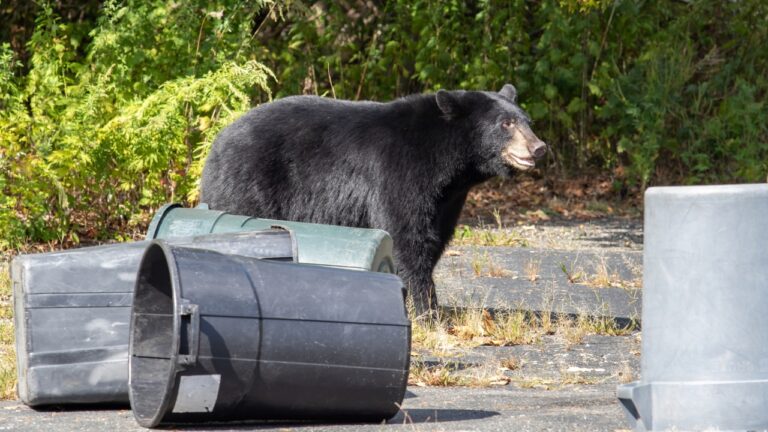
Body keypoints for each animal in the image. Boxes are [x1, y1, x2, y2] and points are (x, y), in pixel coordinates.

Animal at [200, 84, 547, 316]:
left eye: (527, 120)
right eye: (505, 123)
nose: (539, 147)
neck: (448, 163)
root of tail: (217, 144)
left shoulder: (447, 199)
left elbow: (434, 237)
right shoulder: (400, 172)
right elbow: (406, 235)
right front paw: (426, 310)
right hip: (250, 184)